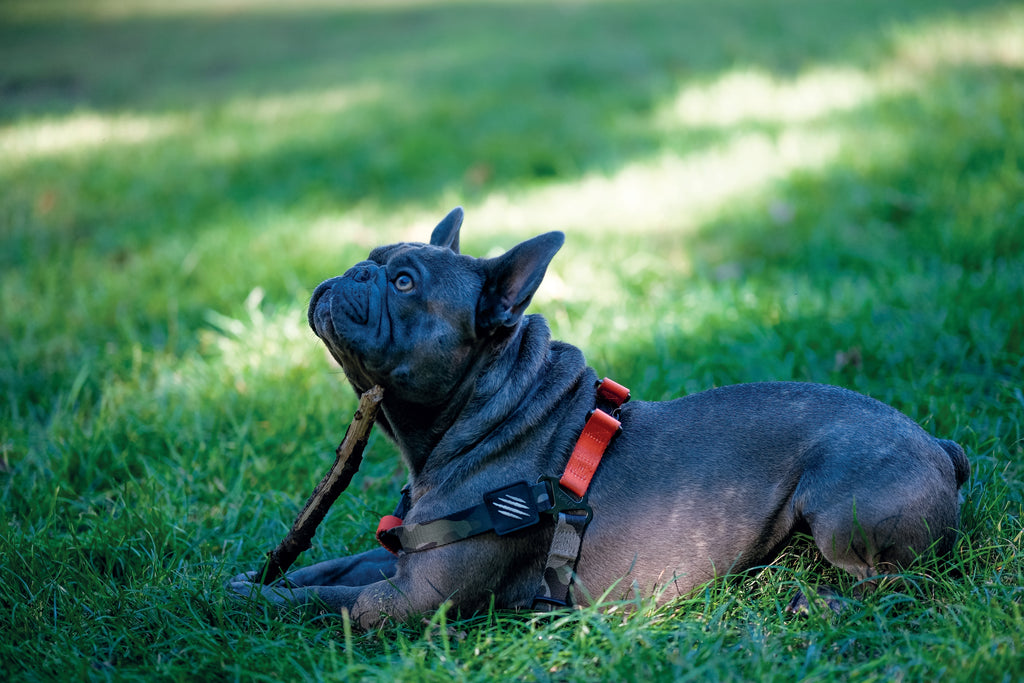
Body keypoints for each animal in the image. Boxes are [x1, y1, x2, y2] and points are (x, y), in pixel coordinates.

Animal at [232, 205, 966, 626]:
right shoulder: (402, 559)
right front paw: (249, 576)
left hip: (841, 507)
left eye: (405, 282)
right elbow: (329, 570)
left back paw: (818, 599)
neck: (484, 412)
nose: (354, 270)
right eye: (373, 260)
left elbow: (323, 604)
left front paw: (229, 601)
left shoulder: (411, 600)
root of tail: (940, 446)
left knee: (902, 581)